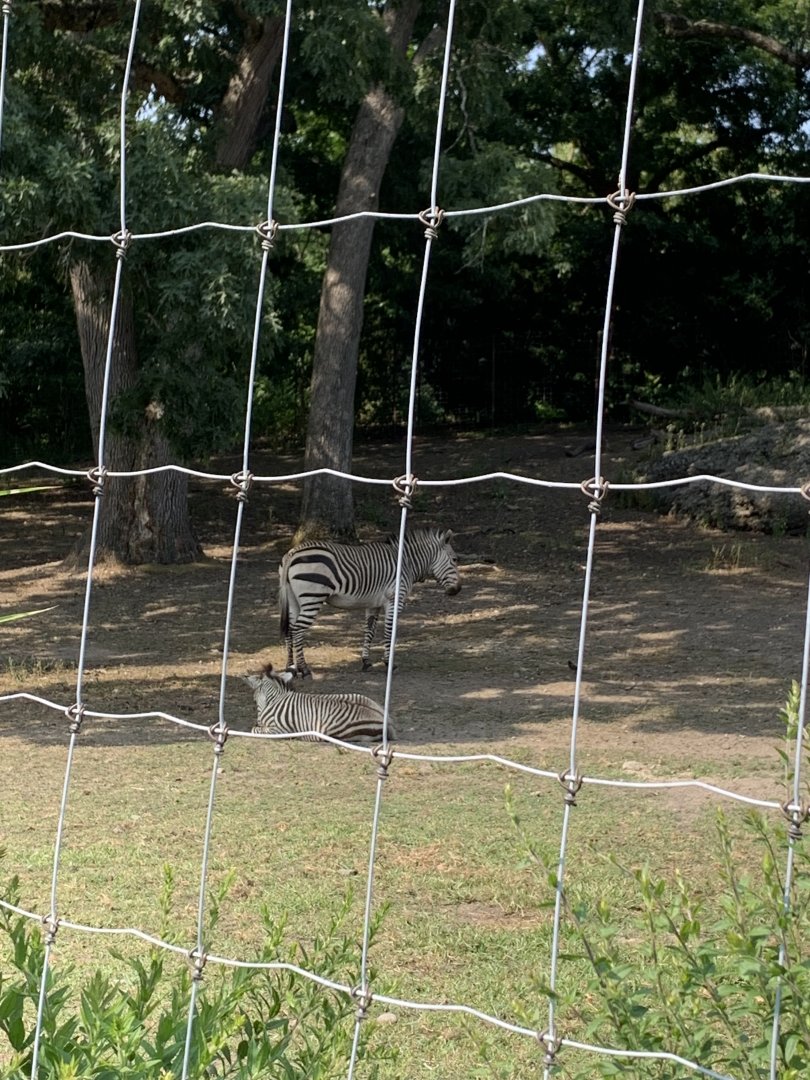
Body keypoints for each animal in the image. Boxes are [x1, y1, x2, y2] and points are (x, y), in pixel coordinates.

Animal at [243, 664, 394, 745]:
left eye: (254, 699)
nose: (258, 720)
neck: (276, 700)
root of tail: (385, 720)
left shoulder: (281, 731)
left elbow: (254, 730)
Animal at [278, 527, 461, 678]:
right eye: (455, 560)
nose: (458, 590)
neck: (407, 563)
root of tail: (292, 553)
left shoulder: (374, 604)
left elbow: (369, 631)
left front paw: (366, 662)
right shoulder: (394, 600)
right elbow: (389, 632)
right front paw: (389, 663)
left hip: (293, 600)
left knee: (290, 629)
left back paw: (290, 667)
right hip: (312, 597)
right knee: (298, 629)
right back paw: (304, 669)